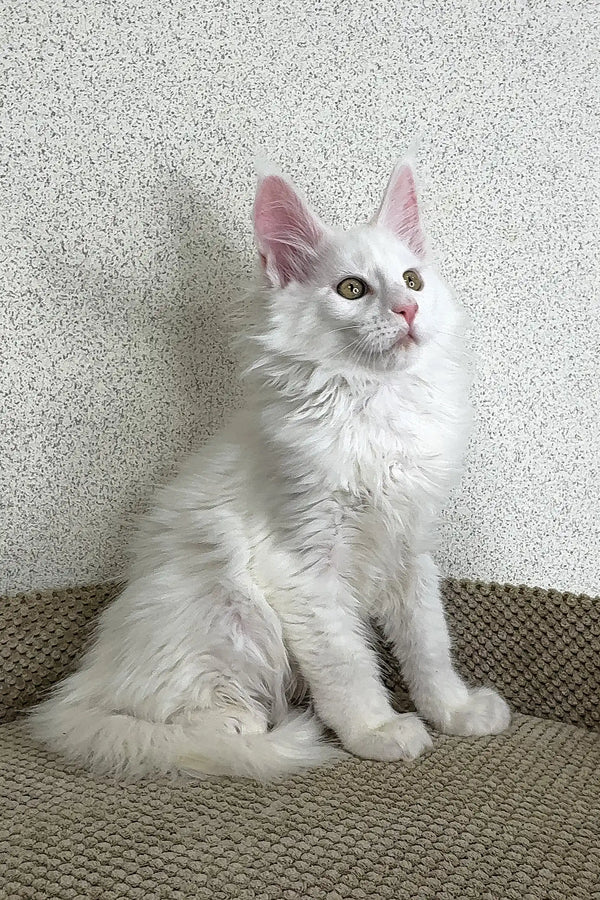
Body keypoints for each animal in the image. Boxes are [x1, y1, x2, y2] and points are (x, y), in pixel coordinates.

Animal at [29, 162, 510, 780]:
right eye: (352, 289)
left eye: (413, 280)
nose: (408, 310)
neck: (373, 407)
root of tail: (81, 688)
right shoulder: (304, 566)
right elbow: (347, 664)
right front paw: (376, 730)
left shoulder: (412, 549)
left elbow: (429, 646)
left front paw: (453, 711)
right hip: (229, 608)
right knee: (180, 718)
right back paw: (256, 729)